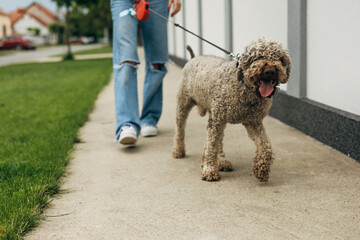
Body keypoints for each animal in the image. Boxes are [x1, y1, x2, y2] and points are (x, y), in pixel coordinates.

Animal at [172, 37, 292, 181]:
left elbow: (265, 146)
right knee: (180, 129)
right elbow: (211, 145)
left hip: (218, 117)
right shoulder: (216, 120)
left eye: (281, 59)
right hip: (184, 104)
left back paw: (221, 161)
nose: (270, 71)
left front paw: (262, 168)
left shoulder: (253, 122)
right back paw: (179, 151)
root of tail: (193, 58)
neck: (244, 88)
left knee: (218, 140)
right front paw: (209, 169)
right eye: (258, 57)